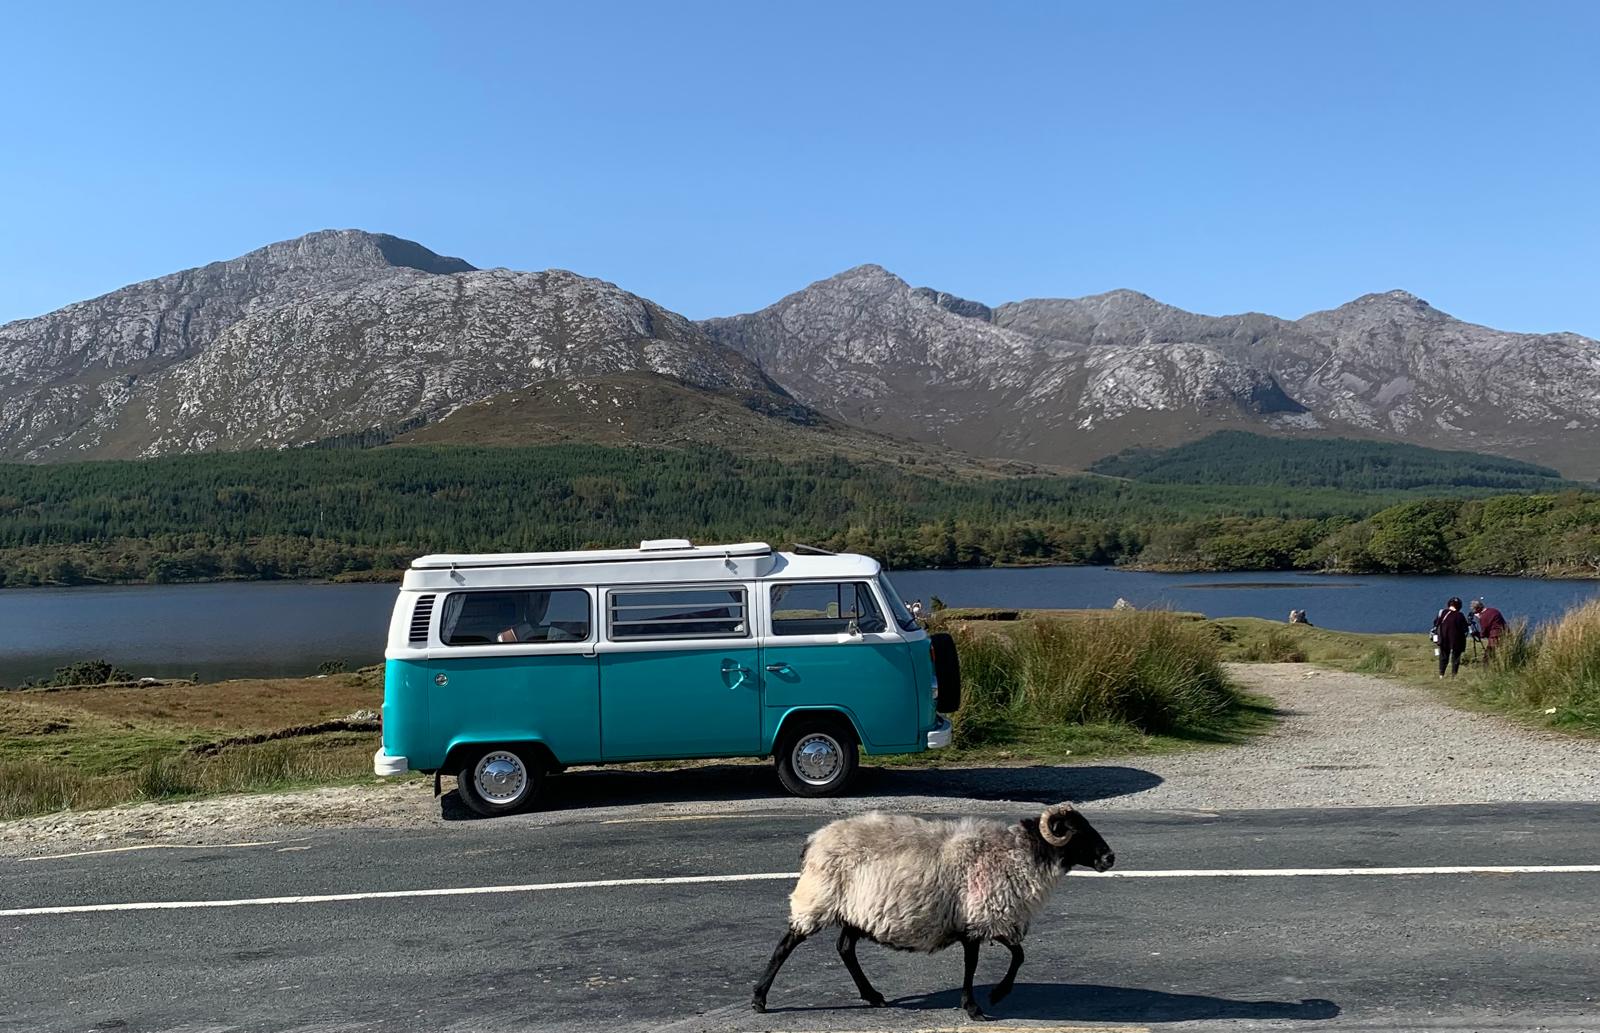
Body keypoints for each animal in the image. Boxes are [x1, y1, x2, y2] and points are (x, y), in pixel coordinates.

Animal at [751, 802, 1115, 1020]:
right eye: (1076, 831)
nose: (1109, 858)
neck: (1020, 855)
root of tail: (813, 840)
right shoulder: (980, 918)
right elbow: (977, 965)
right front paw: (977, 1006)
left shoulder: (993, 920)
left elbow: (1018, 955)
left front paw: (996, 995)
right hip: (817, 898)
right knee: (786, 945)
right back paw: (759, 999)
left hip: (858, 910)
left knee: (844, 948)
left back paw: (873, 995)